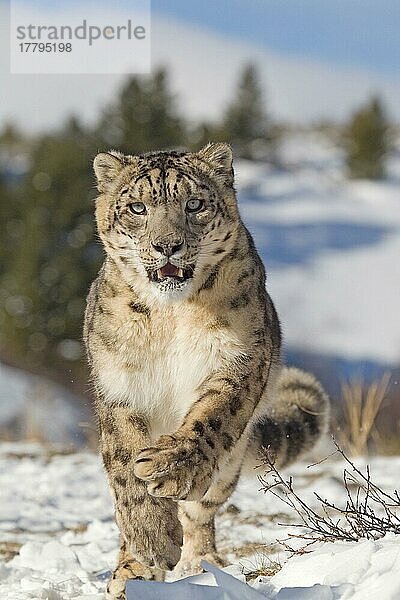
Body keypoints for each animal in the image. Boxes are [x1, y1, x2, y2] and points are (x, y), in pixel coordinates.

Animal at [83, 143, 330, 596]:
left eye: (194, 204)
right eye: (138, 207)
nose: (167, 245)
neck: (170, 314)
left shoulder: (238, 360)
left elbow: (210, 418)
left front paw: (171, 467)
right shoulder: (120, 384)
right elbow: (126, 470)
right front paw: (150, 538)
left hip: (229, 465)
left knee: (201, 511)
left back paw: (201, 563)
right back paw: (131, 570)